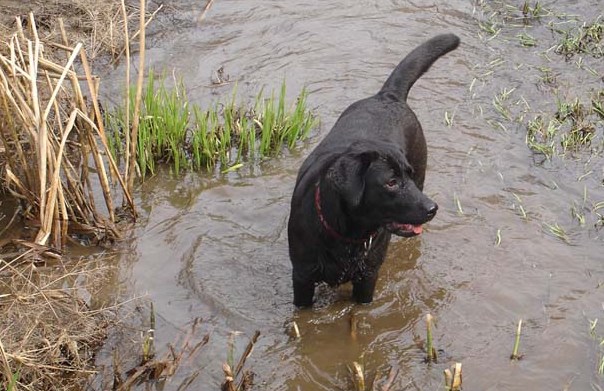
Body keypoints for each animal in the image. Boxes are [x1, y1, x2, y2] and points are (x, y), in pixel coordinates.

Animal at [286, 33, 458, 308]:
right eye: (391, 182)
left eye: (408, 175)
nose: (433, 208)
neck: (347, 235)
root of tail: (387, 96)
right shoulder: (302, 277)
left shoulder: (367, 277)